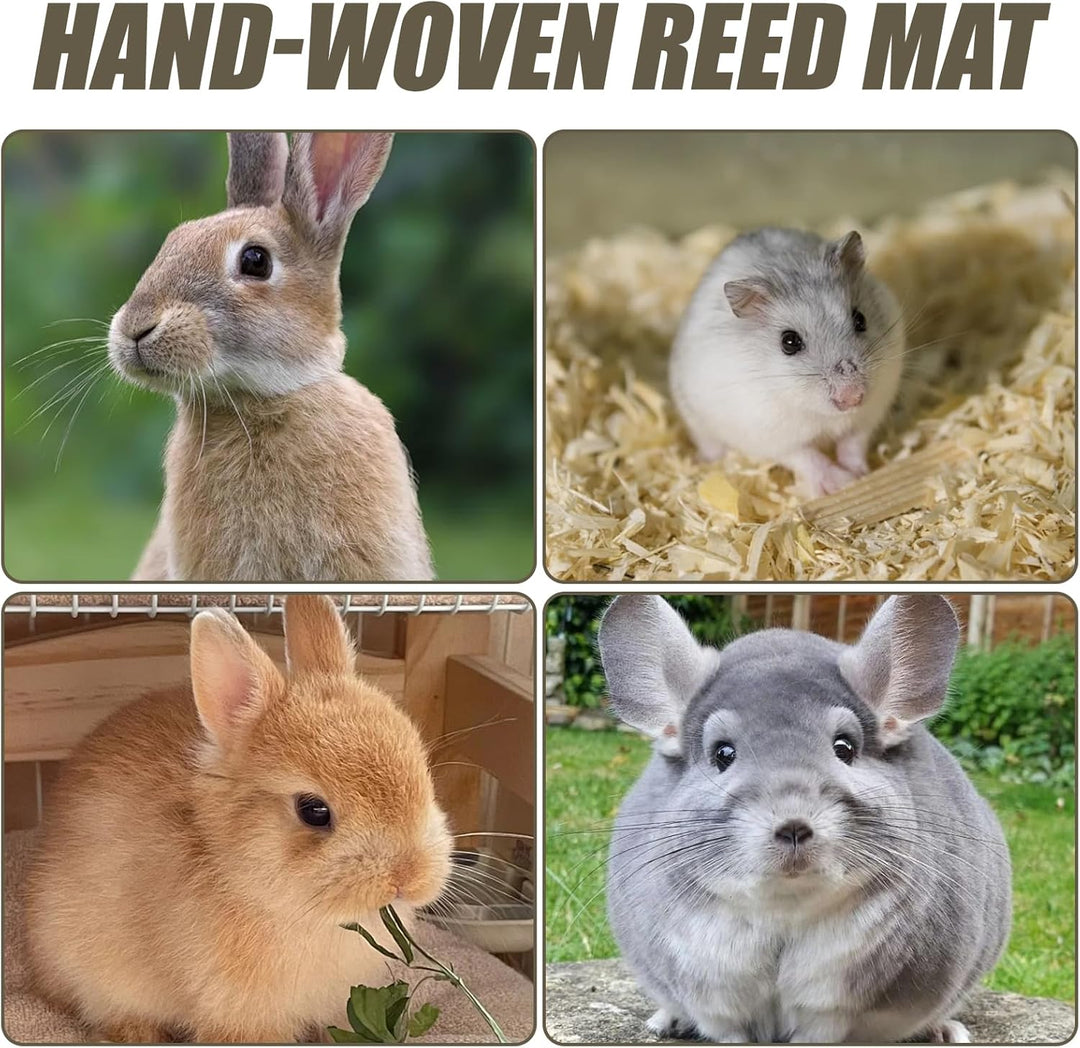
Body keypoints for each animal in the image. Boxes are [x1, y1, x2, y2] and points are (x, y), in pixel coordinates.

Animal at [599, 594, 1011, 1044]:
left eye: (844, 748)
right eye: (723, 754)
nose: (793, 825)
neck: (786, 906)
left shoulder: (833, 1005)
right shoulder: (714, 995)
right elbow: (728, 1030)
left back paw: (946, 1030)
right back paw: (666, 1022)